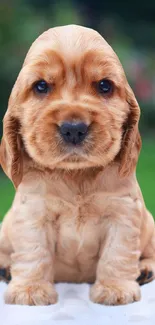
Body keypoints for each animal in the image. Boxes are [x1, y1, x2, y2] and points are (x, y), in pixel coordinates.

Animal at [0, 24, 155, 304]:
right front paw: (30, 290)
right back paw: (6, 268)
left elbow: (116, 253)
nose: (74, 128)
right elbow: (34, 252)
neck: (76, 175)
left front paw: (115, 289)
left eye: (104, 86)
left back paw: (145, 270)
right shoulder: (33, 213)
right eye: (41, 86)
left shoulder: (123, 212)